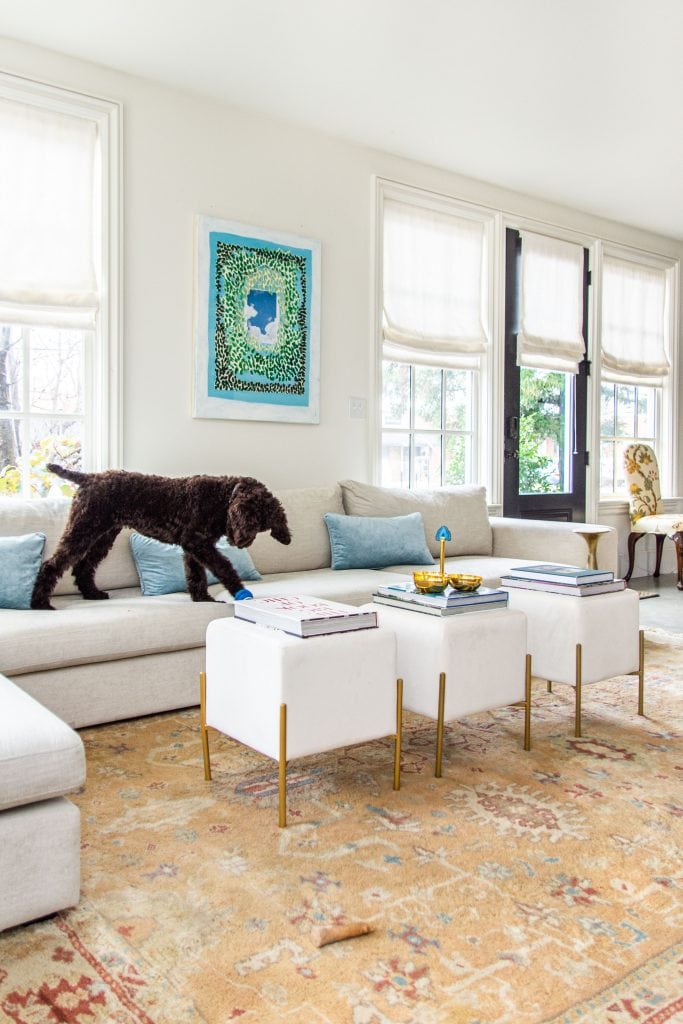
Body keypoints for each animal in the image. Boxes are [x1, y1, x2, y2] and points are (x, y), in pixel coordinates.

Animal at [31, 464, 290, 606]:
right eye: (252, 521)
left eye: (262, 527)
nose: (242, 542)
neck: (222, 497)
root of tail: (89, 477)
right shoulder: (197, 543)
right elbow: (223, 566)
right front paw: (238, 590)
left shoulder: (192, 548)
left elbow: (196, 576)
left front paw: (202, 599)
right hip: (83, 529)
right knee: (52, 565)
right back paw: (40, 603)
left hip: (103, 535)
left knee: (83, 567)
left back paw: (92, 594)